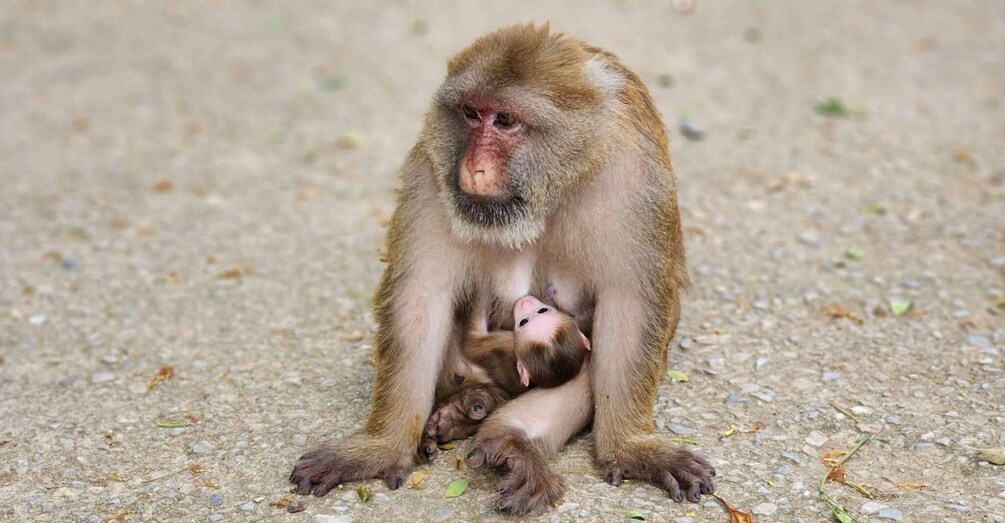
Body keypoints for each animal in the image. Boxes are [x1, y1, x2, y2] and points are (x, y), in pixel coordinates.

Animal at [290, 23, 715, 515]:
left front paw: (631, 447)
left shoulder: (634, 174)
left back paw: (510, 442)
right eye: (472, 114)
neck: (559, 178)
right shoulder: (431, 171)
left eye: (506, 121)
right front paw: (380, 447)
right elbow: (420, 297)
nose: (473, 167)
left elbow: (631, 303)